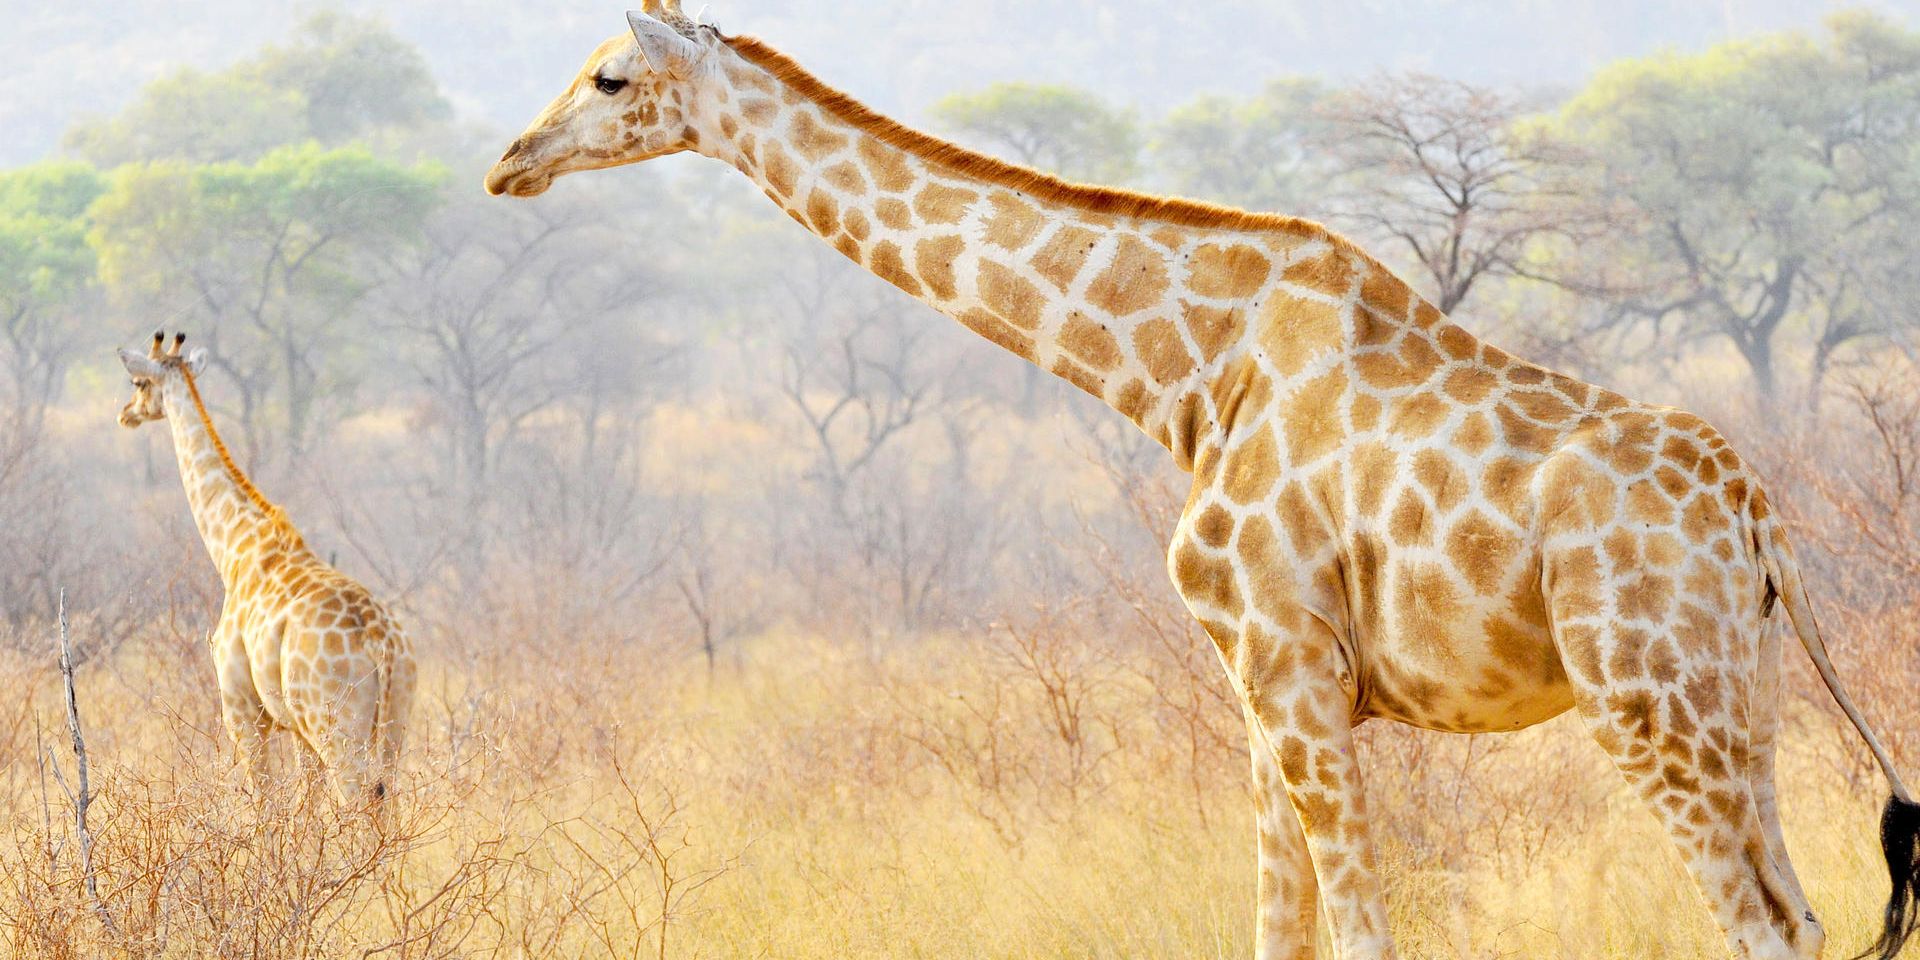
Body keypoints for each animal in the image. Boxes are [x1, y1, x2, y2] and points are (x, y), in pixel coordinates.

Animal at [117, 332, 416, 811]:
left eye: (139, 382)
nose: (126, 413)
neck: (233, 548)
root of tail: (381, 642)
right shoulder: (295, 727)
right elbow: (305, 804)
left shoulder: (242, 709)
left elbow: (268, 804)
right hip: (393, 723)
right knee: (386, 799)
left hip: (337, 726)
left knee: (359, 799)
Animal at [485, 8, 1920, 958]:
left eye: (611, 74)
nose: (509, 162)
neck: (1184, 375)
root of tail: (1762, 523)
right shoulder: (1262, 685)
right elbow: (1277, 933)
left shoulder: (1288, 664)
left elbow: (1357, 935)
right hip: (1741, 700)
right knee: (1800, 913)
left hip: (1644, 698)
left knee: (1756, 926)